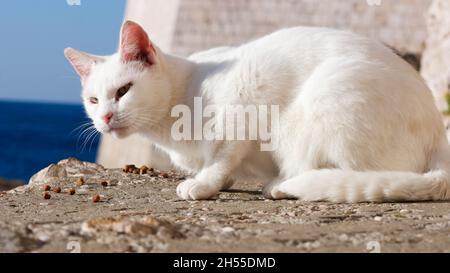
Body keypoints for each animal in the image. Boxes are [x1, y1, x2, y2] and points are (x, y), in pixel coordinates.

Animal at [65, 20, 450, 202]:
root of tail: (438, 133)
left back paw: (284, 185)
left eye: (123, 91)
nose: (105, 118)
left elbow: (222, 157)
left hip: (329, 93)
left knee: (355, 174)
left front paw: (205, 182)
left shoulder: (244, 102)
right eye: (93, 100)